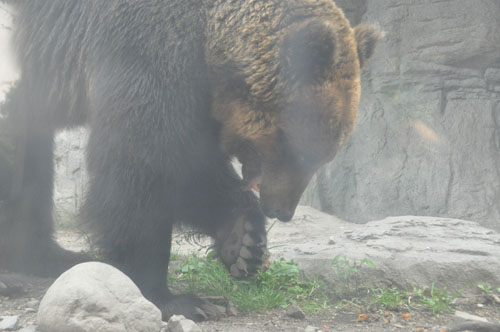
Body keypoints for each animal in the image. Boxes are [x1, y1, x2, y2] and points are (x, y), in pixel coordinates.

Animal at [0, 0, 380, 322]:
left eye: (326, 155)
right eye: (298, 152)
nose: (281, 211)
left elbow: (193, 170)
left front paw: (244, 243)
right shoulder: (144, 48)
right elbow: (145, 165)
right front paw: (177, 298)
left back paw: (51, 256)